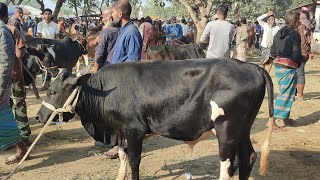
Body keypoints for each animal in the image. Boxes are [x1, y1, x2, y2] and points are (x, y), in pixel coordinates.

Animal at [36, 58, 274, 179]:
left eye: (53, 92)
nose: (39, 116)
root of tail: (251, 65)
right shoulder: (122, 131)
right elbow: (122, 158)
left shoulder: (134, 130)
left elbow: (133, 161)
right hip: (242, 129)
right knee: (247, 157)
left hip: (227, 128)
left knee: (228, 162)